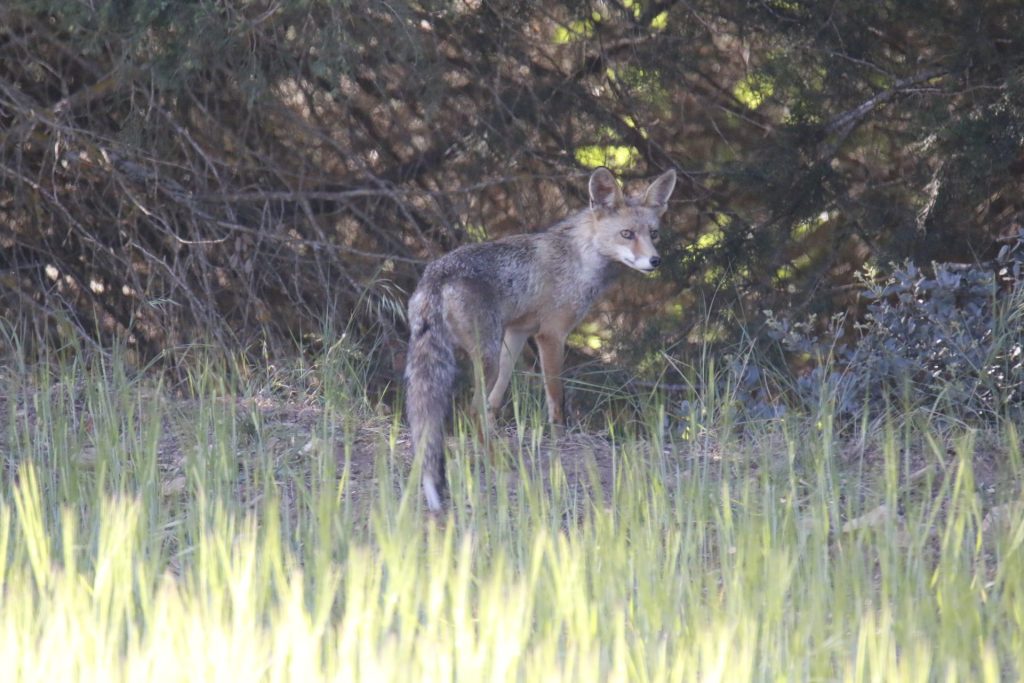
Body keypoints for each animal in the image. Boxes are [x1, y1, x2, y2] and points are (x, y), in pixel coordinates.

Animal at [405, 166, 677, 511]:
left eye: (653, 233)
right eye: (627, 234)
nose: (655, 261)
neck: (579, 258)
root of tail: (435, 273)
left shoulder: (517, 332)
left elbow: (497, 400)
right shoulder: (551, 335)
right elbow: (556, 400)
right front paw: (560, 440)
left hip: (484, 354)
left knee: (478, 408)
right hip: (486, 357)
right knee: (472, 410)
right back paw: (497, 462)